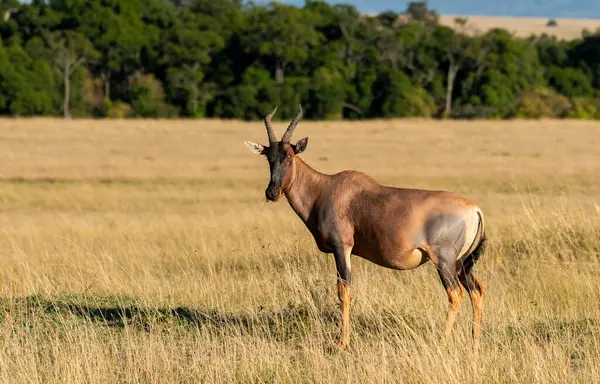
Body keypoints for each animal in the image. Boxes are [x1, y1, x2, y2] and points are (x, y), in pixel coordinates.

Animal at [244, 104, 488, 348]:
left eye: (289, 155)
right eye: (269, 157)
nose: (272, 192)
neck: (326, 188)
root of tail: (474, 209)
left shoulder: (342, 248)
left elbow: (344, 291)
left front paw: (342, 343)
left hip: (444, 261)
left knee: (456, 295)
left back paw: (440, 342)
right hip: (460, 263)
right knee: (477, 290)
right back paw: (475, 342)